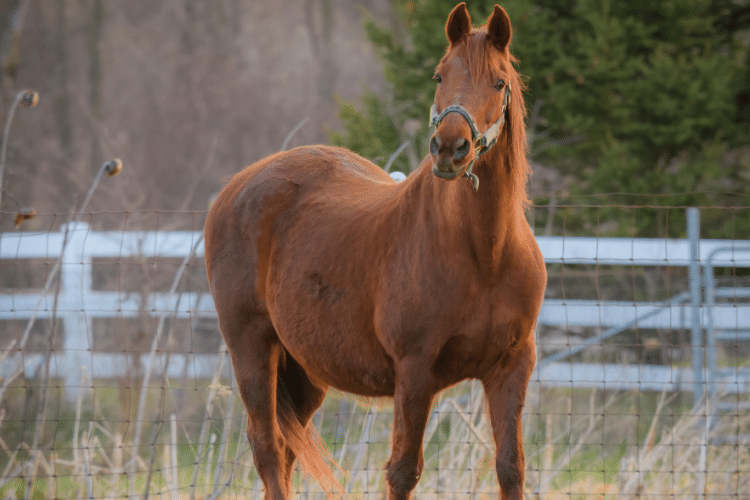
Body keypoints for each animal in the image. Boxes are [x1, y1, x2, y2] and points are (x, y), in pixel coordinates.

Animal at [206, 4, 548, 500]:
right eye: (439, 75)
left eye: (499, 82)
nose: (450, 148)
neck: (485, 254)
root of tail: (236, 187)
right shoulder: (415, 372)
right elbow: (403, 470)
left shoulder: (511, 367)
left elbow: (510, 467)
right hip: (252, 349)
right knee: (266, 446)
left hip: (305, 369)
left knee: (285, 451)